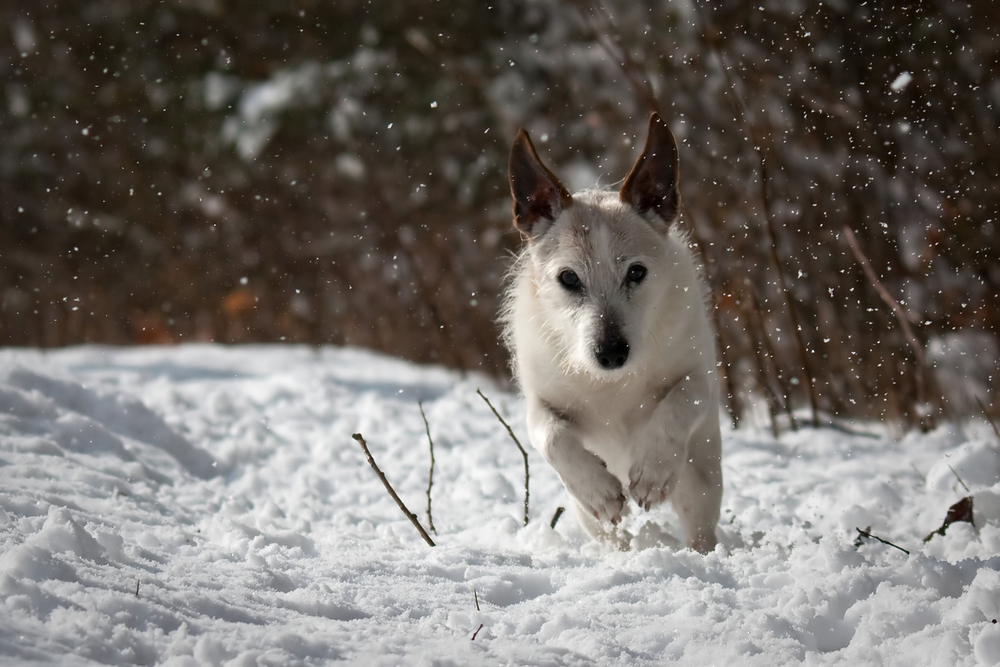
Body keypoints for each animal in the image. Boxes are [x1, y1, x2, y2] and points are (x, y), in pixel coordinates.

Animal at [504, 113, 724, 552]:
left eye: (636, 272)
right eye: (568, 278)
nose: (610, 353)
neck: (611, 384)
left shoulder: (697, 375)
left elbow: (680, 401)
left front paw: (654, 468)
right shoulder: (541, 402)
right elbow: (551, 435)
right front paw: (599, 489)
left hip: (701, 477)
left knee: (700, 524)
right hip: (587, 517)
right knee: (609, 533)